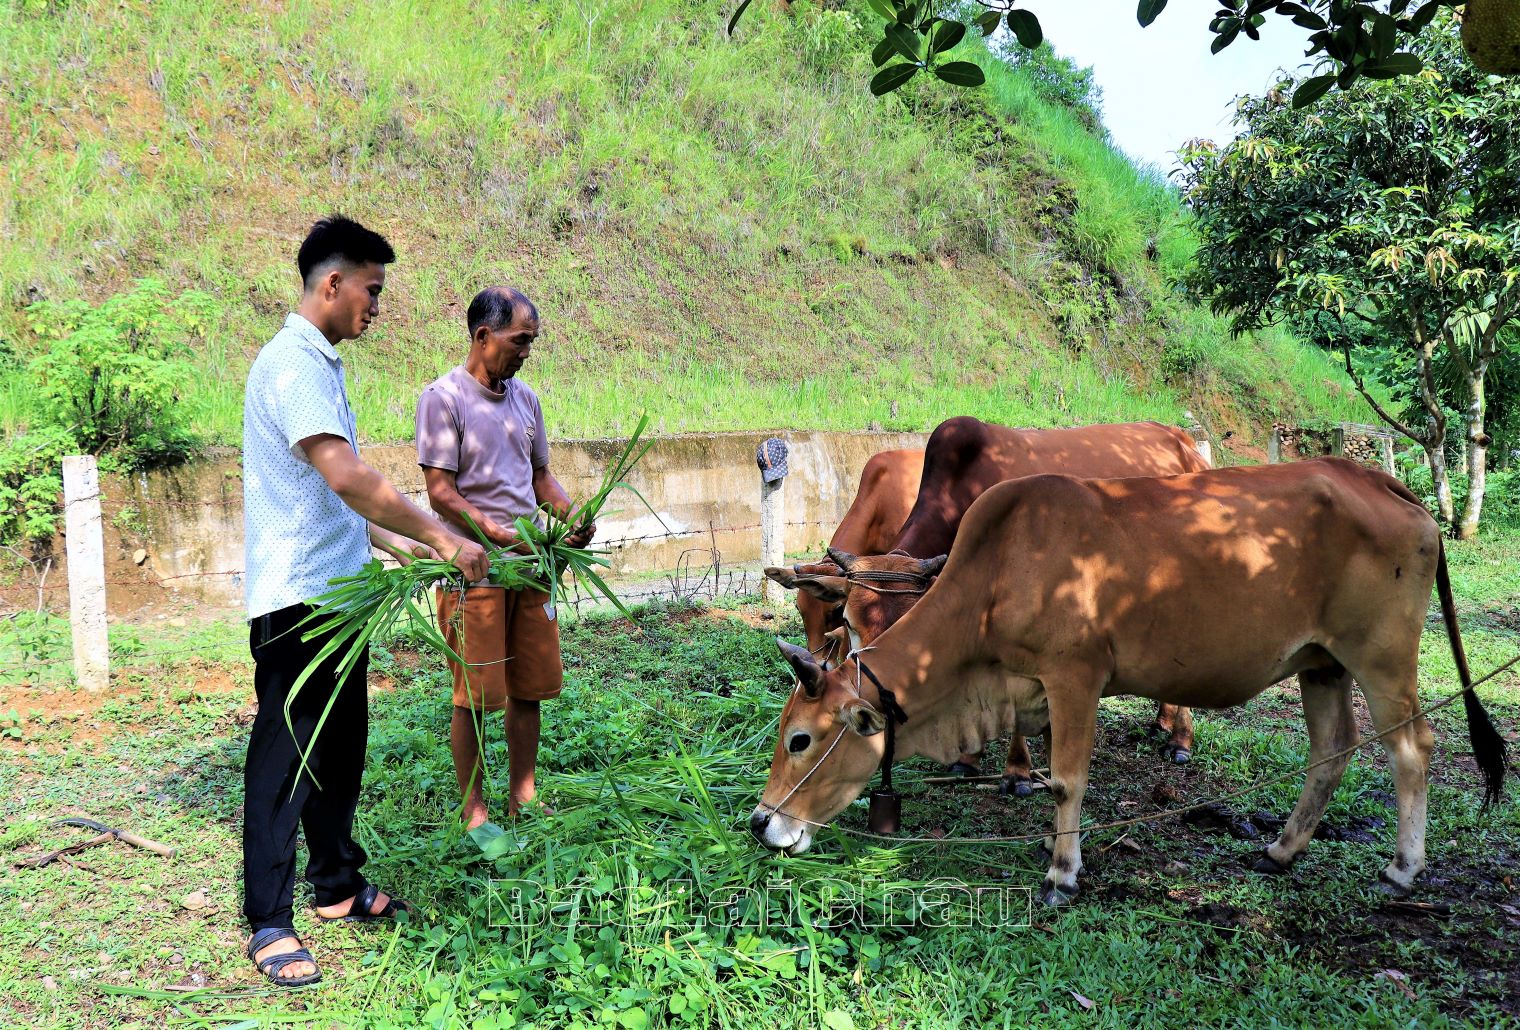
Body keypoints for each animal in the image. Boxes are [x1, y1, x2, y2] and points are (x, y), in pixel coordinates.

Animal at [741, 458, 1501, 905]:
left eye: (801, 739)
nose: (760, 822)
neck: (996, 572)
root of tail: (1381, 480)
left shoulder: (1075, 675)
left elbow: (1066, 780)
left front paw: (1061, 872)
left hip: (1381, 656)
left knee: (1412, 747)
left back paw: (1403, 868)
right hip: (1320, 663)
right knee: (1332, 749)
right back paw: (1280, 851)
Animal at [772, 416, 1209, 796]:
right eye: (848, 621)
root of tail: (1184, 441)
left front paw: (1017, 773)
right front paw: (969, 758)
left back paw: (1181, 740)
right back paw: (1163, 721)